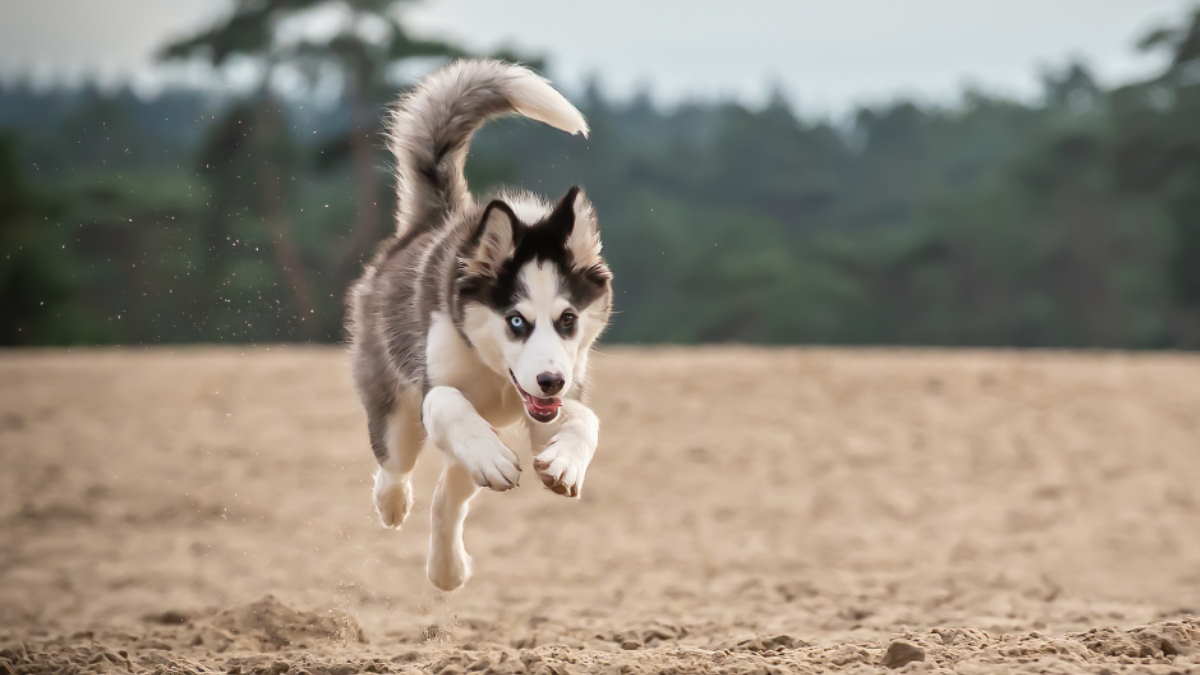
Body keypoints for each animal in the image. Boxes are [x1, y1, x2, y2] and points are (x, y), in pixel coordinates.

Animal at [345, 61, 609, 588]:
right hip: (393, 404)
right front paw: (489, 456)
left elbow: (584, 419)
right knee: (397, 464)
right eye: (516, 320)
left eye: (568, 318)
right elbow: (446, 402)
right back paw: (393, 504)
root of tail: (430, 223)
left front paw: (566, 464)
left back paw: (448, 568)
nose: (550, 380)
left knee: (449, 494)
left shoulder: (556, 401)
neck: (497, 377)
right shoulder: (435, 384)